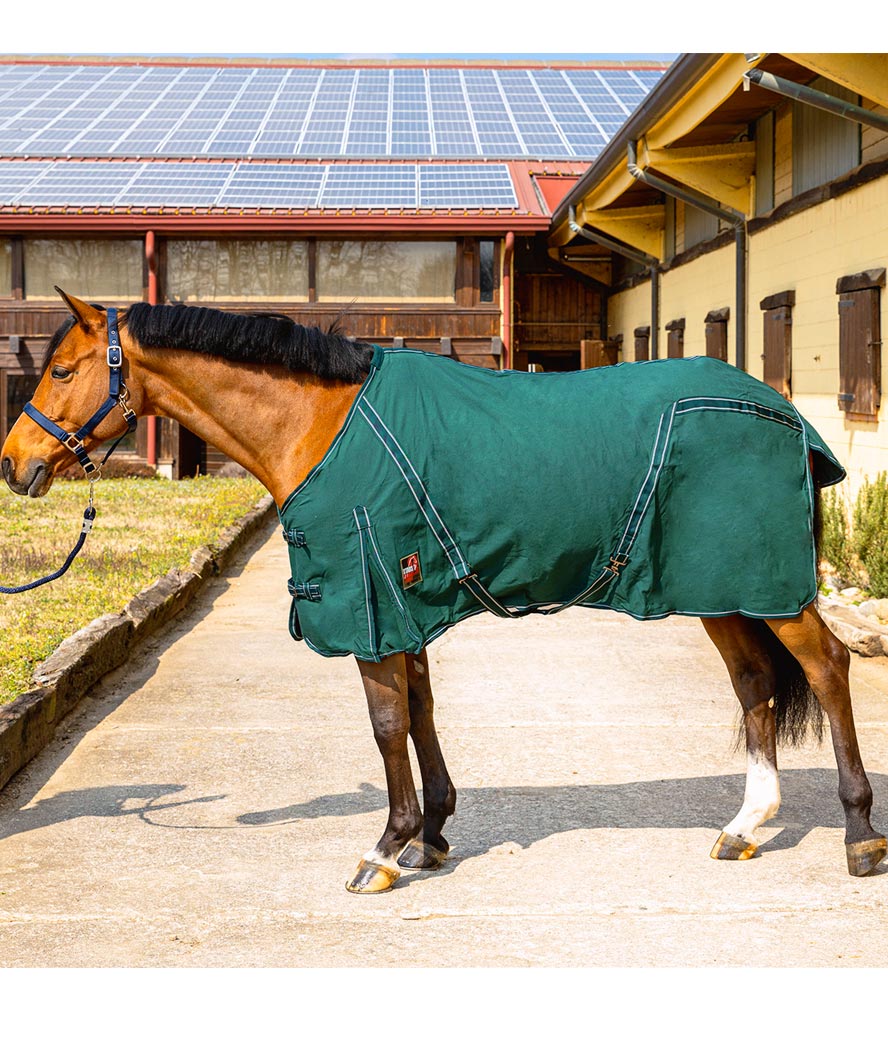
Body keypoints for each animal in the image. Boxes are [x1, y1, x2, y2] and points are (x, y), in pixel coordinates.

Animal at [3, 290, 884, 897]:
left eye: (63, 369)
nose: (15, 464)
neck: (322, 423)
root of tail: (781, 412)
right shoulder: (402, 606)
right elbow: (421, 714)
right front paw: (430, 835)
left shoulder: (369, 603)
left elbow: (388, 723)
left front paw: (383, 849)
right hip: (723, 586)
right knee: (756, 683)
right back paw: (744, 826)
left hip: (764, 586)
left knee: (828, 668)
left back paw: (859, 833)